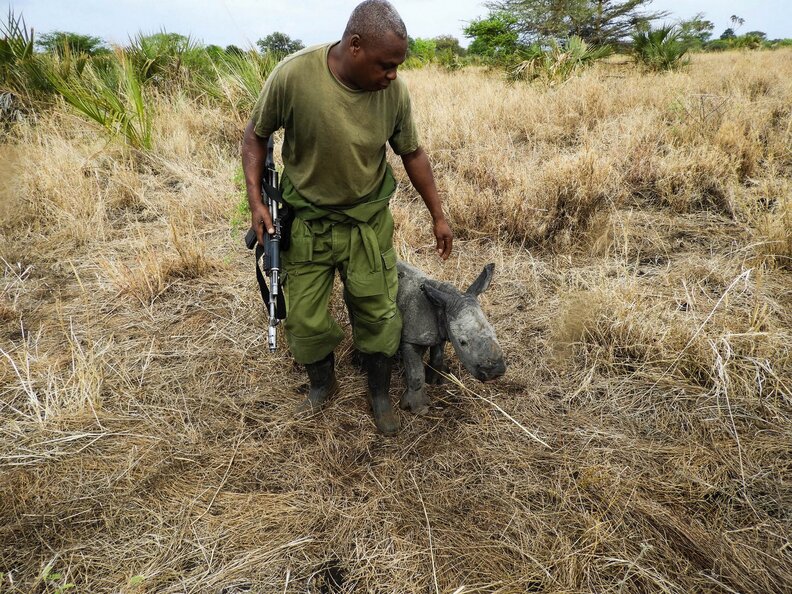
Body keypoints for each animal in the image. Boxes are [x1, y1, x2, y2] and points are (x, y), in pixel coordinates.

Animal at [396, 261, 507, 415]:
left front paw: (435, 380)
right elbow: (416, 374)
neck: (441, 308)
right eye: (462, 342)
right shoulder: (410, 338)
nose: (496, 373)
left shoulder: (441, 330)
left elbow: (437, 357)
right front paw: (419, 409)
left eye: (494, 331)